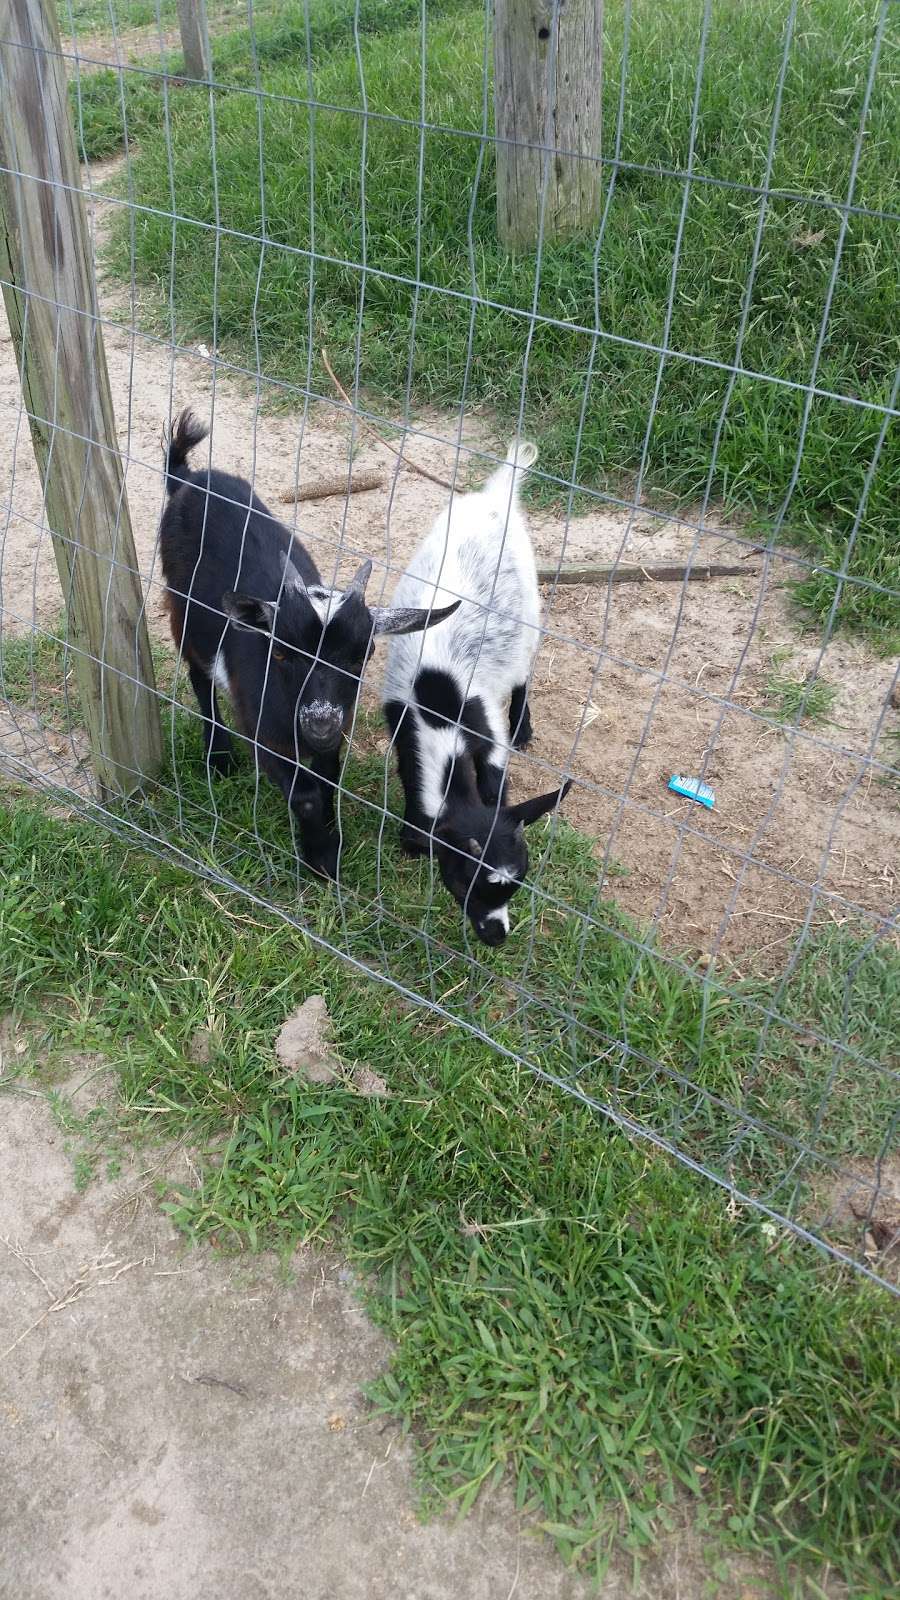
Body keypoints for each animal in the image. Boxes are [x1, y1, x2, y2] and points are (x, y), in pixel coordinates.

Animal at [157, 412, 458, 883]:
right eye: (281, 653)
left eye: (362, 656)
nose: (318, 723)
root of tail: (186, 478)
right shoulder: (262, 729)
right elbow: (305, 794)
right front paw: (321, 858)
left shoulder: (336, 732)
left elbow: (328, 778)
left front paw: (331, 839)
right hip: (185, 610)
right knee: (198, 673)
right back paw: (218, 757)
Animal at [379, 438, 566, 940]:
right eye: (464, 879)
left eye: (518, 881)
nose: (496, 935)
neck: (437, 708)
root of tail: (496, 496)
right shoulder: (403, 726)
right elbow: (412, 778)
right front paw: (412, 837)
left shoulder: (485, 729)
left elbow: (496, 779)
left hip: (530, 609)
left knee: (523, 671)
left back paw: (523, 726)